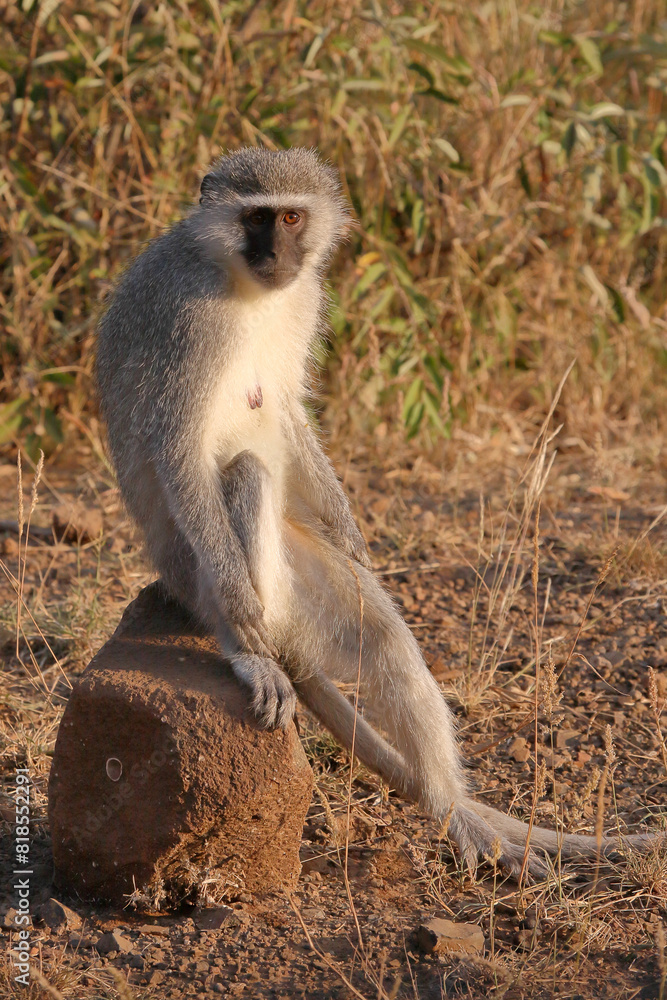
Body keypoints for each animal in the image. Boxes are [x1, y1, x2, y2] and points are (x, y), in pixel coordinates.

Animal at [96, 146, 658, 876]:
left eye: (291, 217)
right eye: (256, 218)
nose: (278, 252)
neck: (242, 282)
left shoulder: (304, 298)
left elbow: (287, 407)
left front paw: (353, 535)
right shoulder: (187, 324)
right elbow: (179, 447)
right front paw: (240, 623)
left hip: (299, 565)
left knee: (383, 639)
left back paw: (453, 813)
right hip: (198, 575)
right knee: (244, 479)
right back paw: (248, 648)